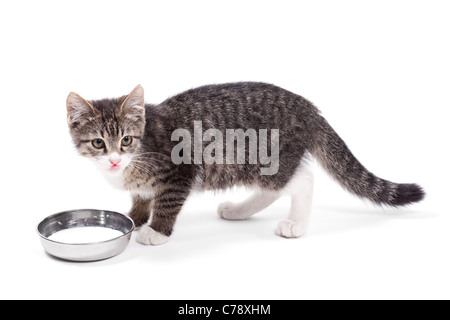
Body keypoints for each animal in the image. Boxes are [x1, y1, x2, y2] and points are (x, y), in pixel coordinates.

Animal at [65, 82, 424, 245]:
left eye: (126, 140)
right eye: (98, 143)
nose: (114, 160)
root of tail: (308, 107)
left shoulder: (180, 171)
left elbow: (166, 202)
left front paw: (156, 231)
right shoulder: (139, 182)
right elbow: (141, 195)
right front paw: (137, 217)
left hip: (264, 160)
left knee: (302, 181)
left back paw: (295, 224)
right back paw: (238, 211)